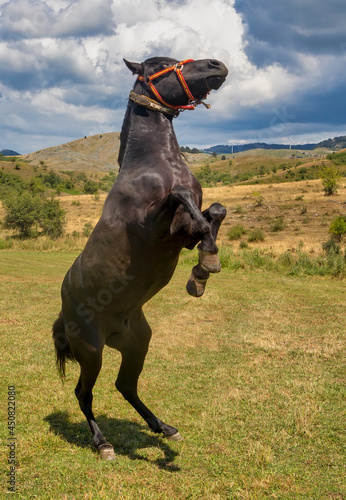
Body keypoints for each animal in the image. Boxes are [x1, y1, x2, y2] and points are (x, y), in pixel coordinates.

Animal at [52, 55, 228, 460]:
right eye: (162, 65)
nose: (217, 65)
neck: (154, 166)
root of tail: (64, 310)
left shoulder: (183, 231)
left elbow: (214, 211)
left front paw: (202, 271)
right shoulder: (157, 227)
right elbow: (183, 199)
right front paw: (205, 265)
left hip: (137, 344)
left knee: (125, 386)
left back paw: (165, 428)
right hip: (91, 351)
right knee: (84, 393)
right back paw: (103, 444)